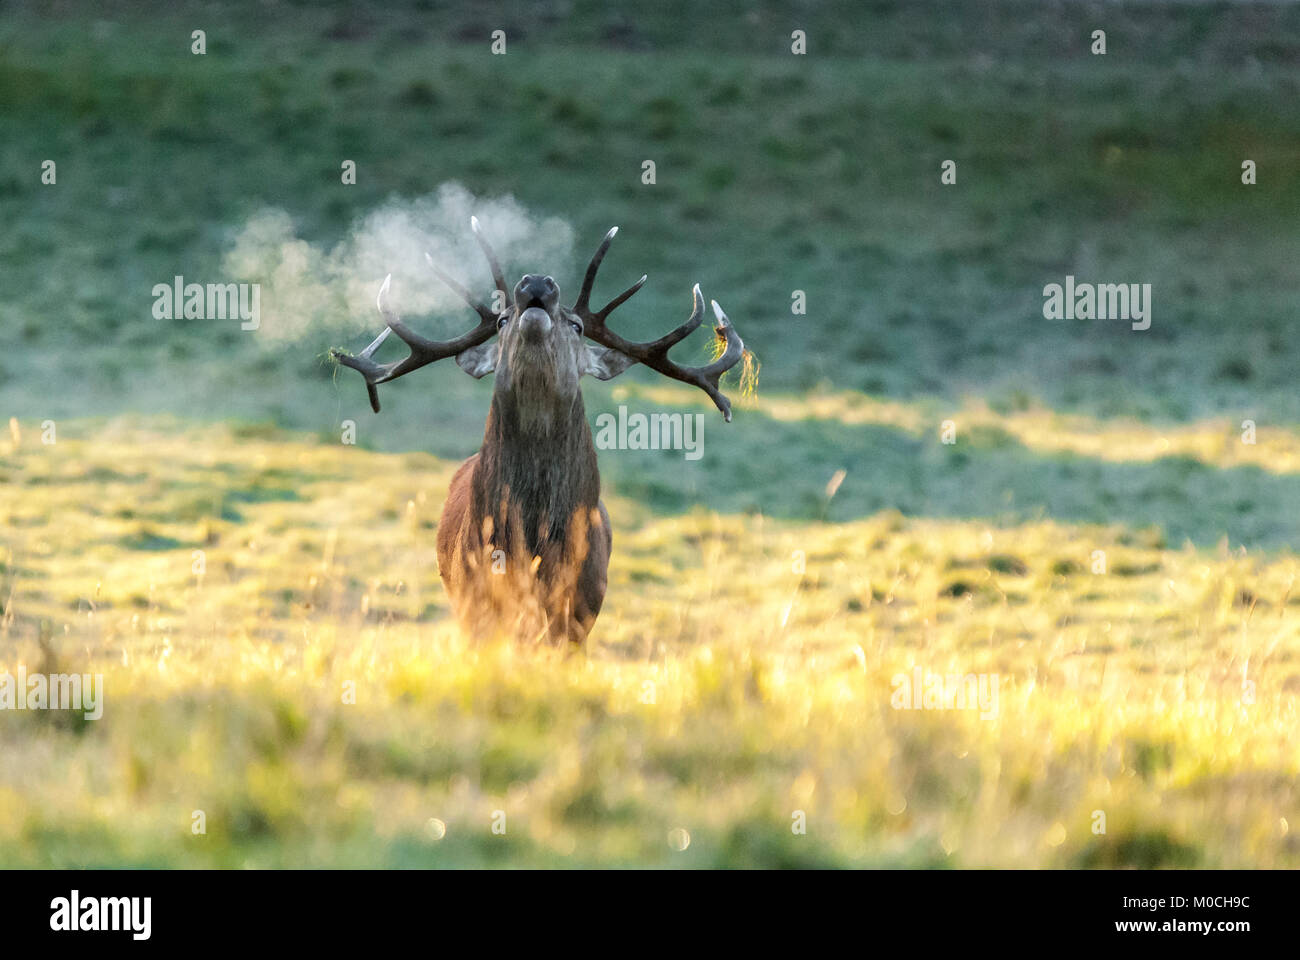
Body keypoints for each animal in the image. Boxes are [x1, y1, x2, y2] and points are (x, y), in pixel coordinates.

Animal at [331, 219, 745, 645]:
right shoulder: (473, 602)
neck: (532, 545)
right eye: (501, 321)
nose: (535, 283)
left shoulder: (580, 615)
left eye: (577, 325)